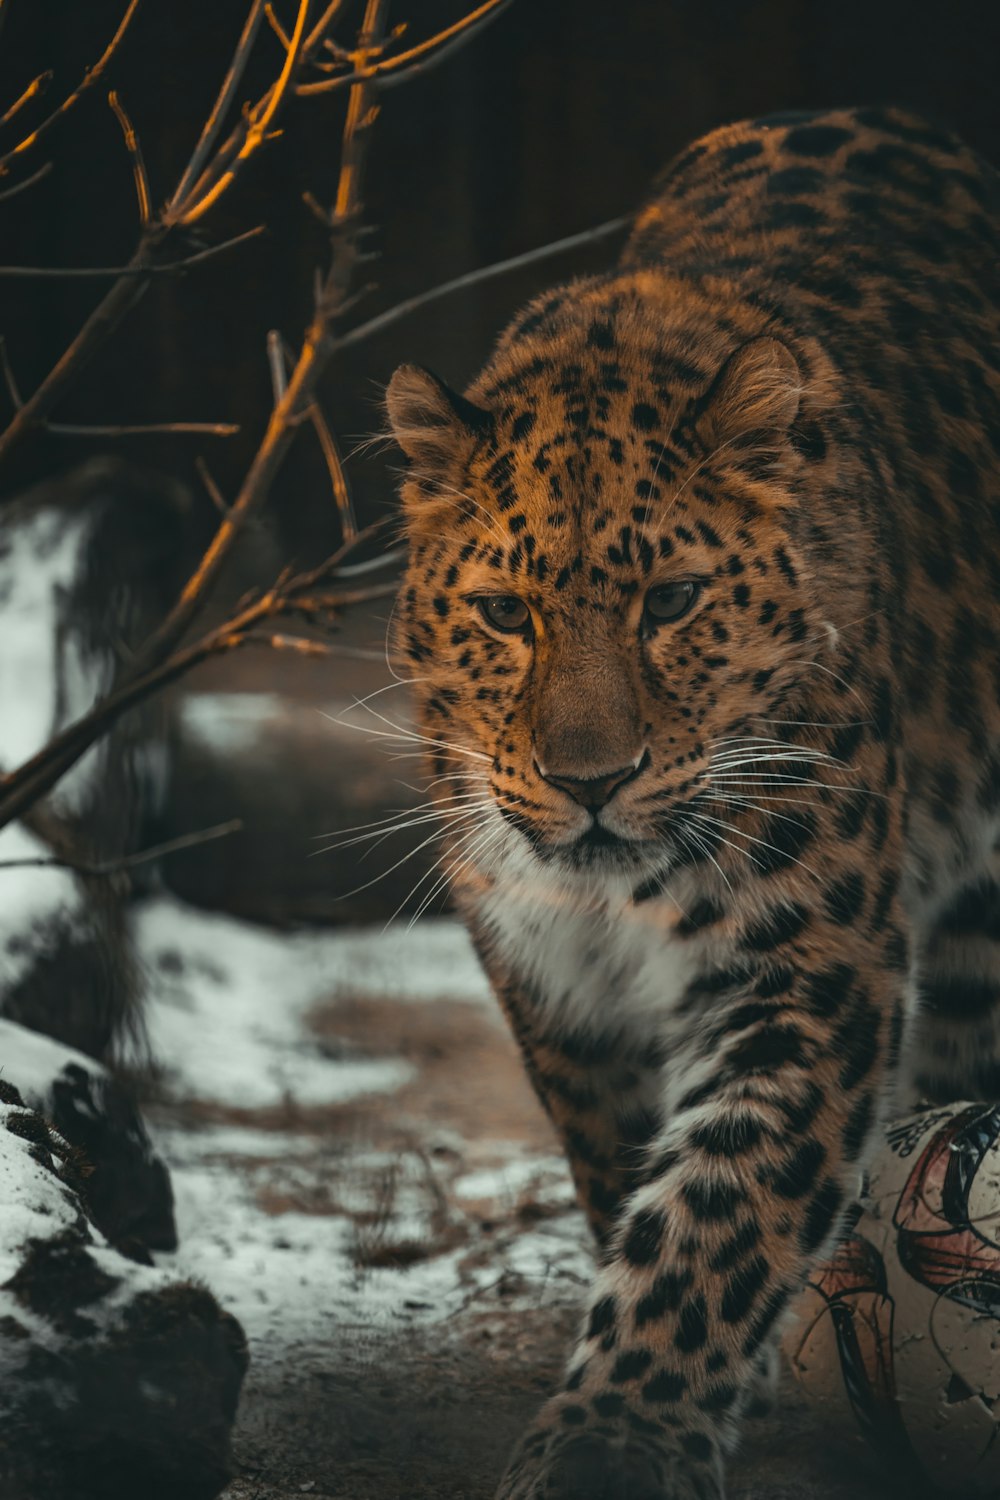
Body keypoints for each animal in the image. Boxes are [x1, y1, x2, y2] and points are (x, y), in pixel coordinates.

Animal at [383, 108, 1000, 1500]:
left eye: (670, 603)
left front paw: (617, 1439)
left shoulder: (806, 963)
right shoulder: (545, 970)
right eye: (504, 614)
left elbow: (721, 1208)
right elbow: (626, 1166)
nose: (587, 780)